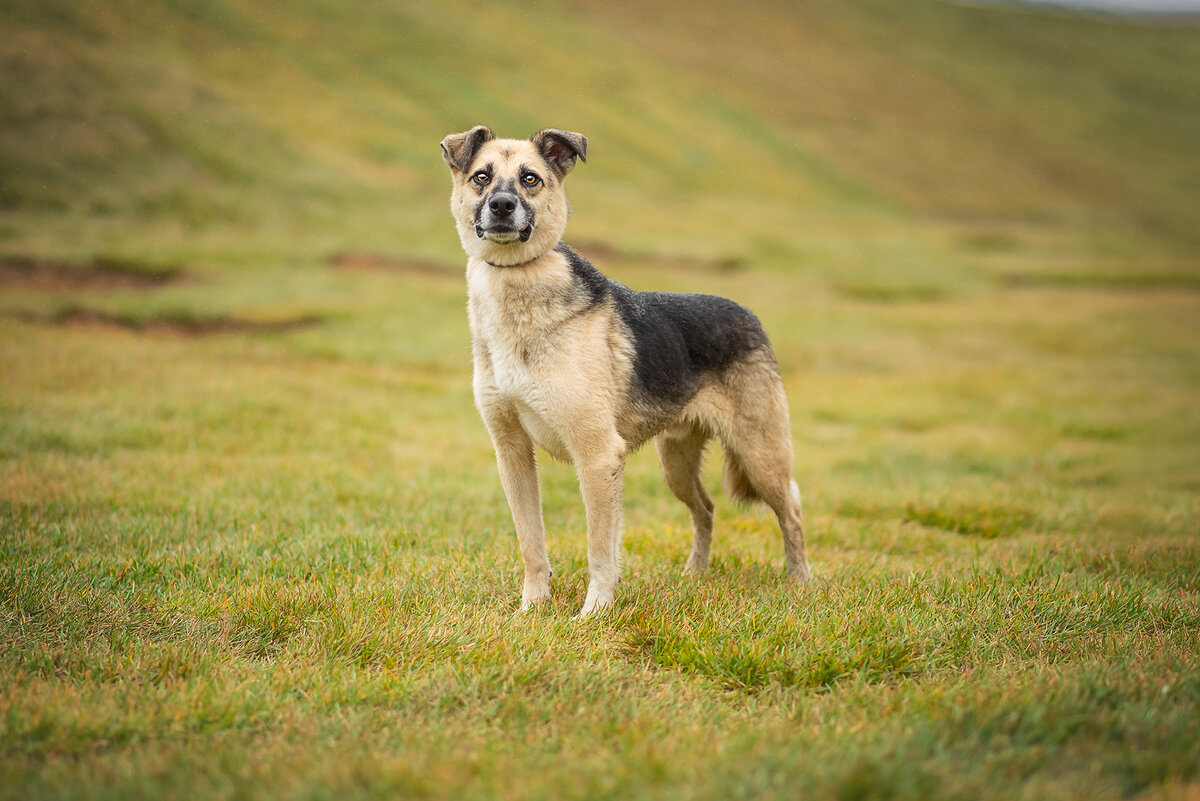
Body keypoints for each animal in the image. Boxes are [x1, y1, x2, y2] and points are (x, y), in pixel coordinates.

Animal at [436, 125, 811, 618]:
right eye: (481, 176)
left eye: (530, 179)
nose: (501, 205)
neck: (518, 281)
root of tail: (747, 314)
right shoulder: (512, 453)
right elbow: (531, 543)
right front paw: (531, 609)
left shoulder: (597, 456)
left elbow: (600, 547)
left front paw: (593, 614)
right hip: (676, 464)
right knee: (706, 508)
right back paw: (695, 575)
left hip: (760, 455)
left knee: (792, 510)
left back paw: (801, 582)